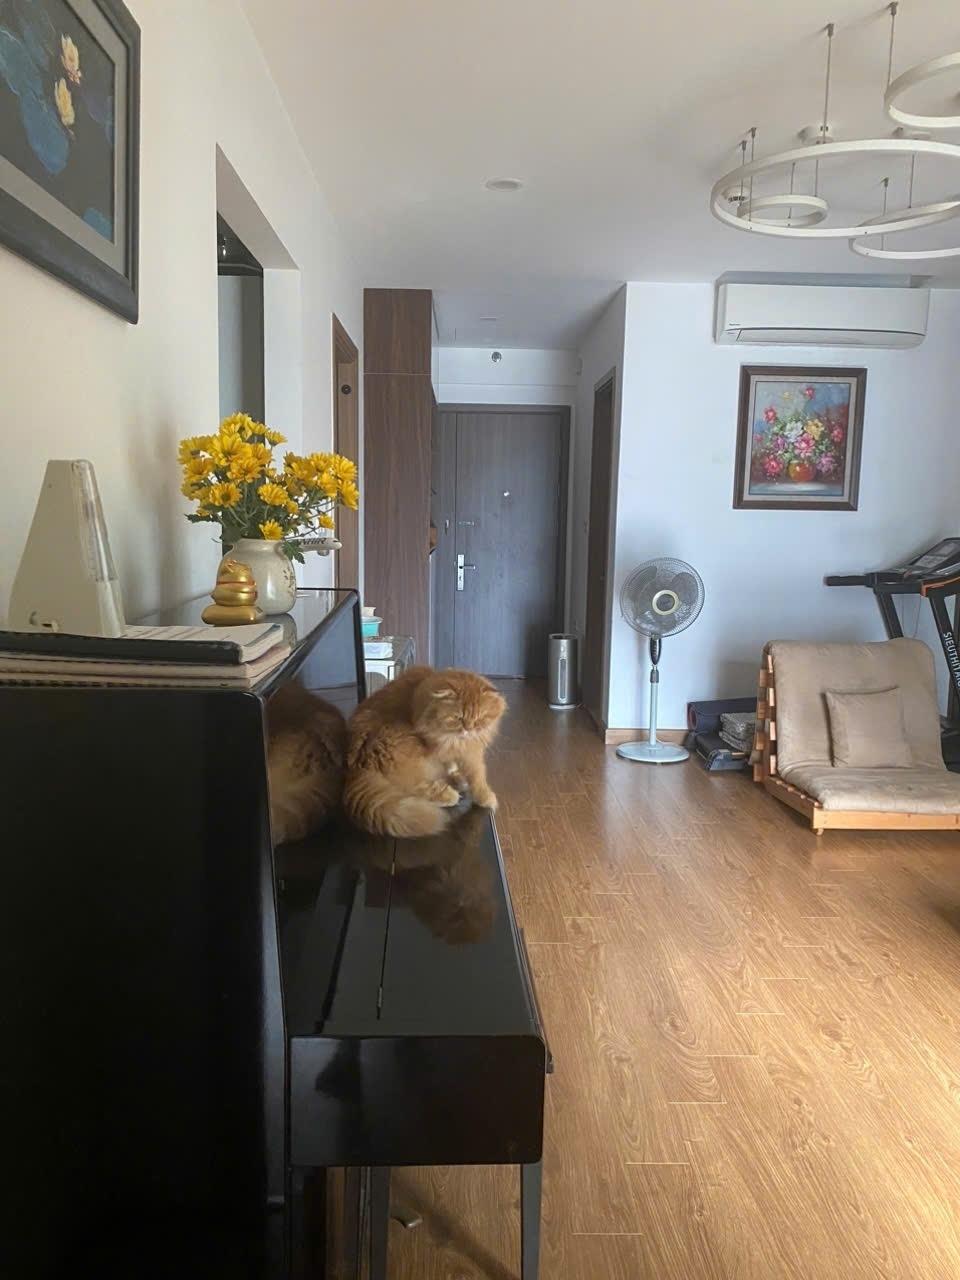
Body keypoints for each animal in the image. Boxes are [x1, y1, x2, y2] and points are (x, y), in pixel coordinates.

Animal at [343, 665, 506, 839]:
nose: (468, 730)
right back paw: (449, 794)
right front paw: (485, 797)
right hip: (408, 749)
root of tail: (355, 768)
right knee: (412, 787)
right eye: (458, 718)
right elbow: (477, 776)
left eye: (479, 718)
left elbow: (461, 768)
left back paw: (457, 781)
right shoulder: (461, 751)